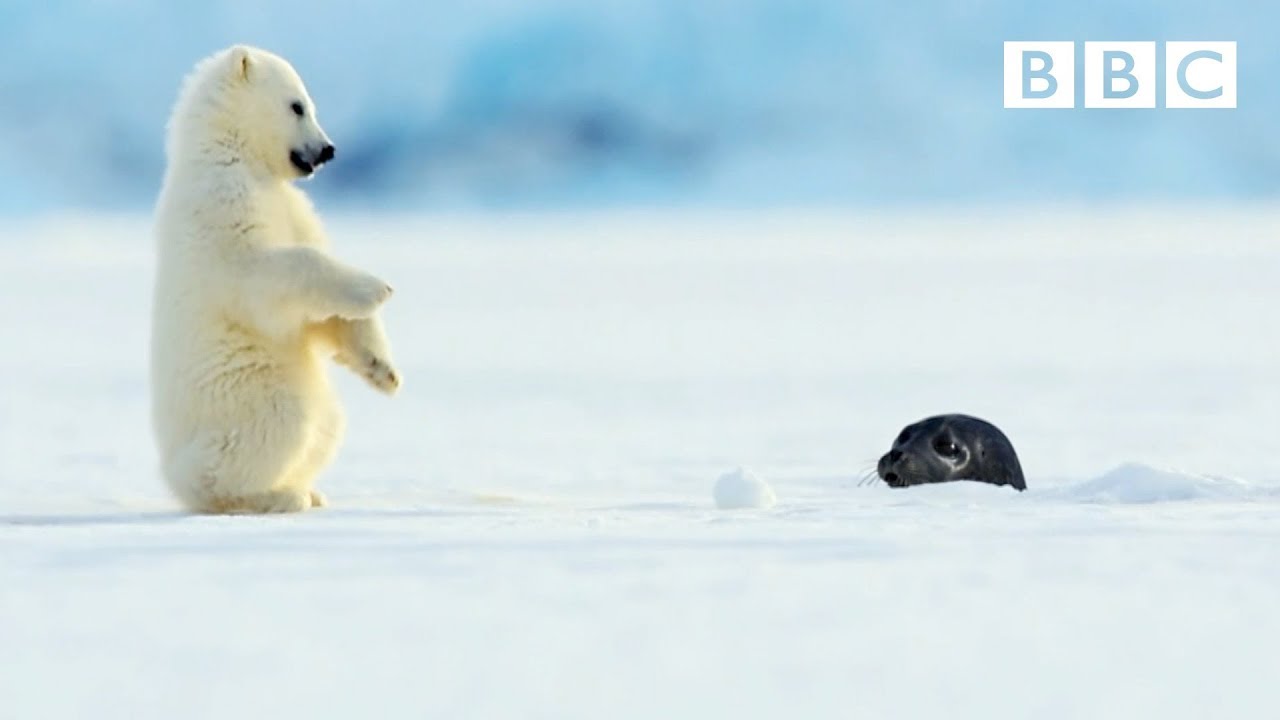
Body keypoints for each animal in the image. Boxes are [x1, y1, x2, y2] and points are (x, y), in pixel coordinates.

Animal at [150, 45, 400, 514]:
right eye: (297, 105)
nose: (328, 150)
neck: (235, 156)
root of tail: (173, 476)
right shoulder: (222, 202)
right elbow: (266, 275)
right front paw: (376, 288)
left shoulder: (291, 206)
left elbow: (320, 309)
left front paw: (382, 369)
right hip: (245, 391)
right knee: (281, 422)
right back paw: (277, 495)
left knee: (327, 423)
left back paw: (311, 489)